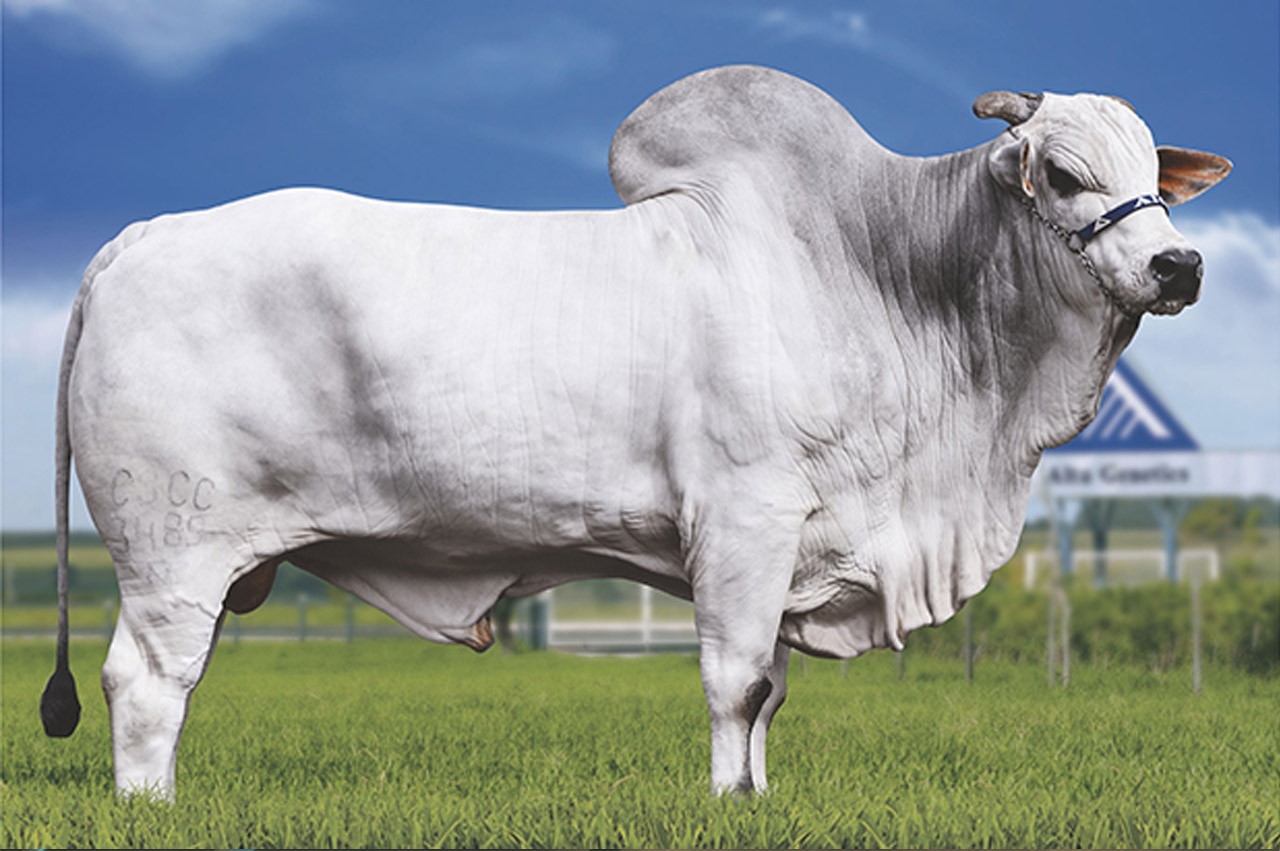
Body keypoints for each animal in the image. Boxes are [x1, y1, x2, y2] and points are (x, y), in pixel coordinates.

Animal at [41, 65, 1229, 800]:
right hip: (171, 551)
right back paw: (150, 807)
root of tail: (138, 236)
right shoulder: (744, 522)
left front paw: (757, 794)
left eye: (1152, 177)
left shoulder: (786, 550)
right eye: (1063, 173)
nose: (1178, 265)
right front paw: (727, 800)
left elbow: (770, 693)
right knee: (147, 682)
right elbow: (736, 683)